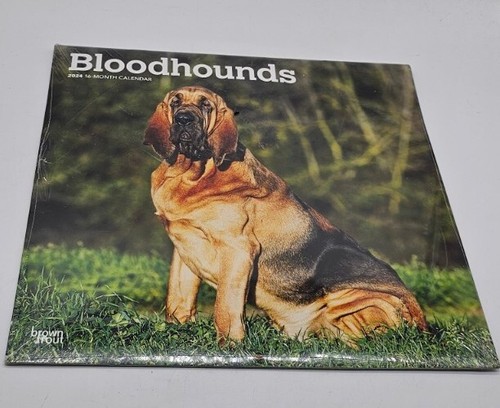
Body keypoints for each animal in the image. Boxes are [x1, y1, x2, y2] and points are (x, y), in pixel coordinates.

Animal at [143, 85, 427, 345]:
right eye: (175, 102)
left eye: (205, 105)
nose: (184, 119)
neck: (192, 174)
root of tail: (424, 325)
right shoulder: (183, 247)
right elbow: (178, 297)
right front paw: (176, 332)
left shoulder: (237, 250)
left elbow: (225, 307)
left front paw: (229, 345)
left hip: (356, 300)